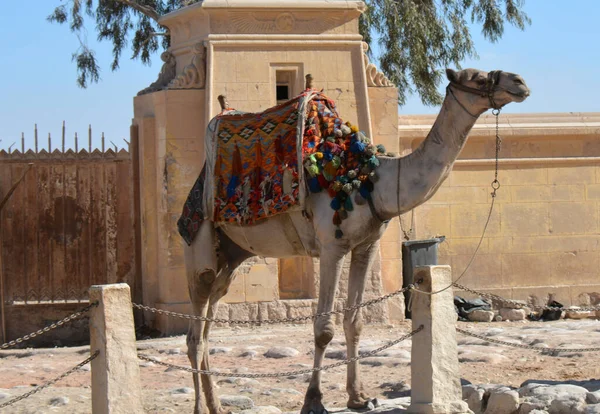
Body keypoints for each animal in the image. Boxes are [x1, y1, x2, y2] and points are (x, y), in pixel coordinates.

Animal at [182, 68, 528, 414]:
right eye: (477, 77)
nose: (520, 83)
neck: (371, 181)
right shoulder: (331, 247)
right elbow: (324, 328)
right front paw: (314, 400)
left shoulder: (366, 246)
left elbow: (355, 321)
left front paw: (359, 397)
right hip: (200, 242)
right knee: (195, 330)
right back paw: (200, 407)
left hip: (232, 252)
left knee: (210, 316)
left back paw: (216, 405)